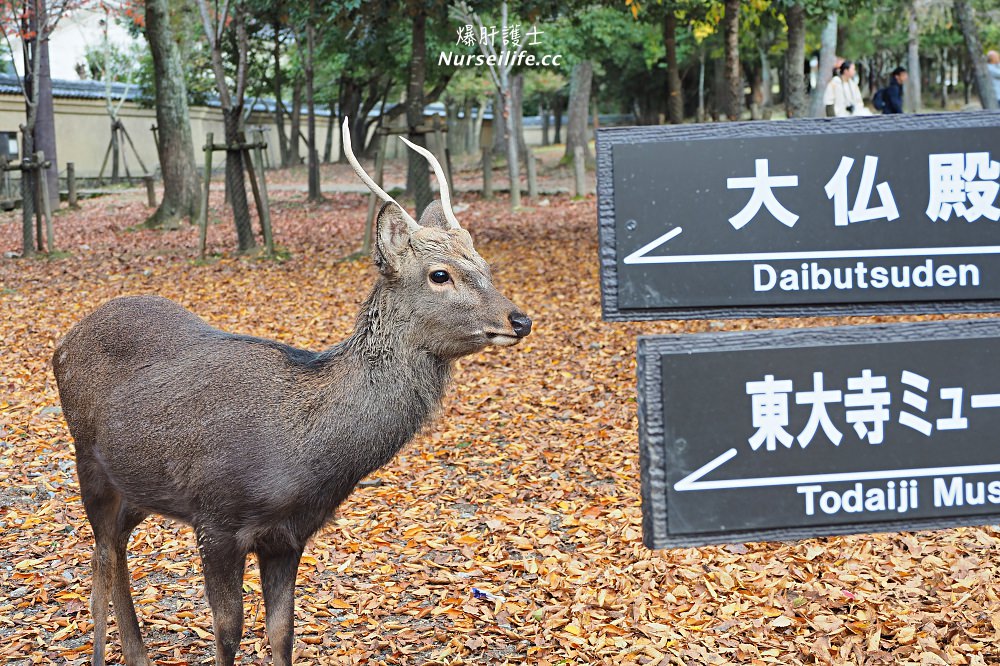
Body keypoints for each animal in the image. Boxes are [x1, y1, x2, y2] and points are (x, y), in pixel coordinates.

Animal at [50, 116, 532, 660]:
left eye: (485, 266)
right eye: (440, 274)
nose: (519, 320)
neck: (302, 459)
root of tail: (62, 343)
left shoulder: (290, 535)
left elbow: (282, 634)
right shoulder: (215, 519)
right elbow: (228, 633)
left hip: (136, 486)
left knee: (114, 549)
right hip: (87, 460)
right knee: (101, 554)